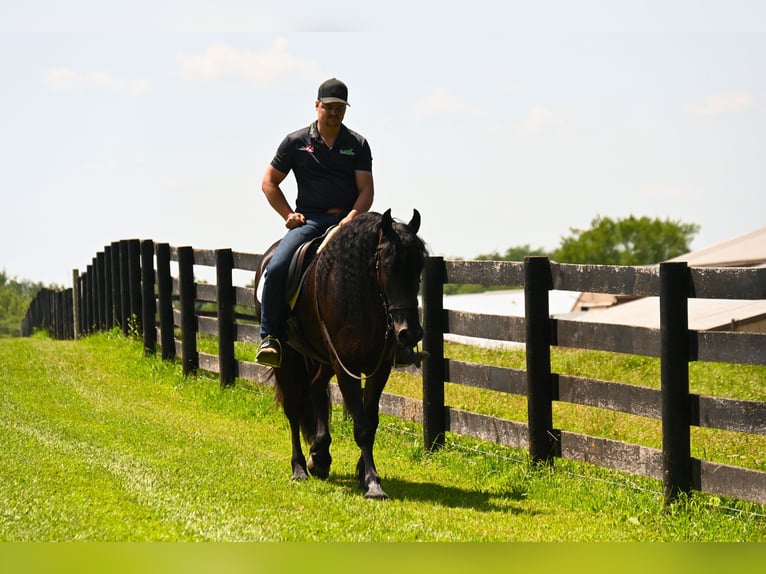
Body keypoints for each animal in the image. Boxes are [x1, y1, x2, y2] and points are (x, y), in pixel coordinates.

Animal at [259, 209, 427, 499]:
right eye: (388, 265)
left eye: (419, 266)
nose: (409, 333)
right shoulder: (345, 365)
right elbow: (361, 426)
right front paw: (372, 483)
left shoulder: (379, 368)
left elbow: (371, 421)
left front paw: (363, 473)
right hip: (289, 359)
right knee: (293, 409)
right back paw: (299, 468)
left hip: (322, 359)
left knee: (315, 389)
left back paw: (320, 456)